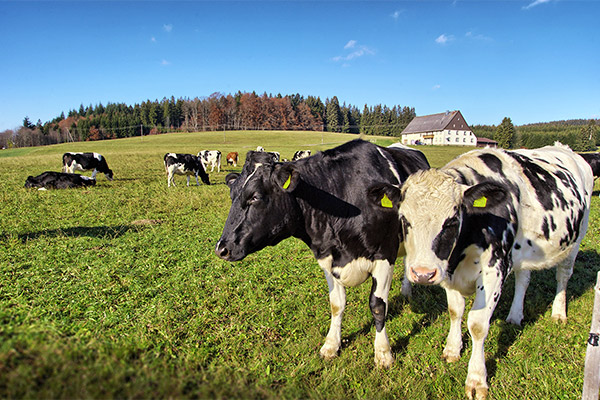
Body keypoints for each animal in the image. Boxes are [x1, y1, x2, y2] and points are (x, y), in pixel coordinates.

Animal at [216, 139, 432, 368]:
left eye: (255, 197)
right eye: (232, 195)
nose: (221, 248)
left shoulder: (385, 254)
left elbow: (378, 306)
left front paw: (383, 353)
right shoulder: (328, 258)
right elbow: (336, 304)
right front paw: (331, 345)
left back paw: (407, 290)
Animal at [372, 142, 592, 398]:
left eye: (451, 221)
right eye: (404, 220)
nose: (423, 274)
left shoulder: (494, 269)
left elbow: (477, 325)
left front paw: (476, 379)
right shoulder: (448, 270)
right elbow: (455, 311)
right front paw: (453, 349)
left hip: (576, 239)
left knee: (563, 276)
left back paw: (558, 313)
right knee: (523, 279)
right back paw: (515, 316)